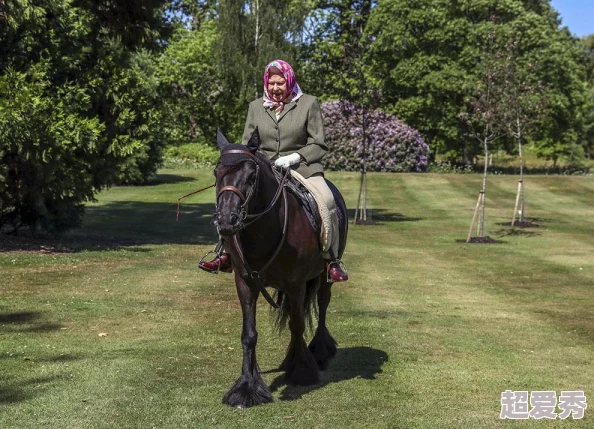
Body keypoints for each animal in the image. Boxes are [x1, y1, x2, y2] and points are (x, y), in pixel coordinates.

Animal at [213, 129, 346, 406]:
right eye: (216, 172)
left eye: (251, 176)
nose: (227, 221)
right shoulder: (245, 282)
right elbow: (249, 334)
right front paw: (246, 387)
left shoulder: (296, 283)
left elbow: (297, 325)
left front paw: (302, 371)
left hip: (325, 276)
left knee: (323, 305)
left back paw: (319, 351)